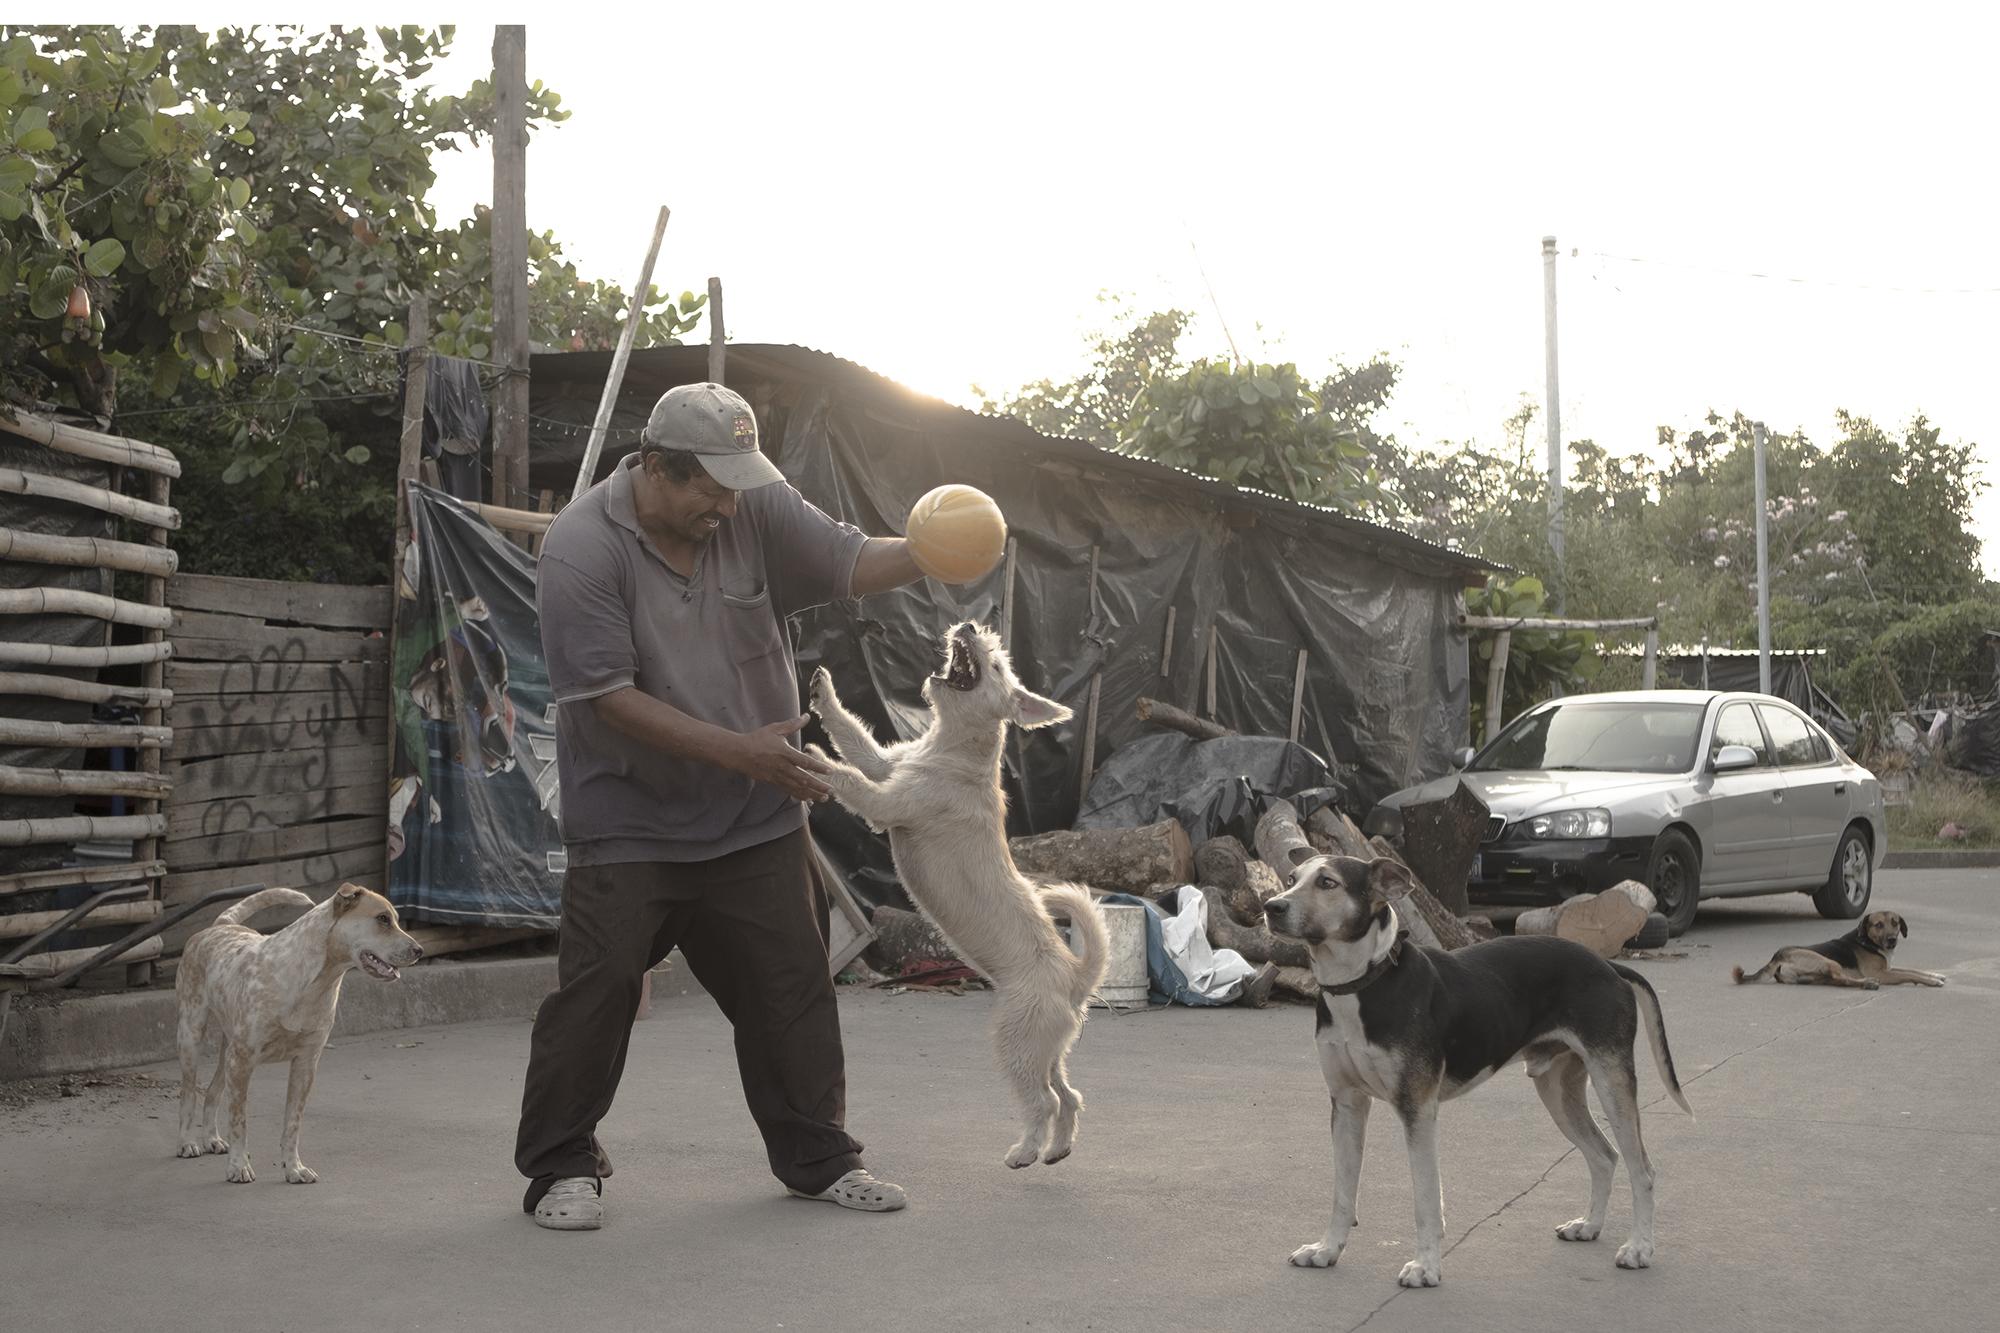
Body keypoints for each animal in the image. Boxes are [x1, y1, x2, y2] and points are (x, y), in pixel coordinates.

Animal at [175, 888, 422, 1176]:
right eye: (382, 918)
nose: (420, 950)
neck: (314, 982)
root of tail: (219, 926)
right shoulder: (242, 1061)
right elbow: (239, 1122)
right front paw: (239, 1167)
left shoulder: (305, 1063)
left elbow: (292, 1124)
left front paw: (294, 1169)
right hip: (192, 1036)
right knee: (188, 1094)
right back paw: (187, 1143)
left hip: (228, 1054)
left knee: (212, 1092)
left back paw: (212, 1139)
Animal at [804, 624, 1112, 1160]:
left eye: (998, 665)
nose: (969, 626)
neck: (948, 748)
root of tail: (1076, 977)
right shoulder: (887, 764)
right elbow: (855, 741)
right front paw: (824, 697)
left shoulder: (884, 802)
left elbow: (849, 777)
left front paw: (812, 759)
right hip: (1048, 1050)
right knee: (1070, 1095)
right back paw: (1056, 1149)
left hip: (1015, 1042)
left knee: (1046, 1101)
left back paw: (1025, 1152)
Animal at [1264, 856, 1688, 1280]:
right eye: (1291, 879)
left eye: (1328, 882)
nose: (1272, 907)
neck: (1365, 981)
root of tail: (1608, 964)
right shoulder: (1347, 1105)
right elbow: (1342, 1193)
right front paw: (1326, 1250)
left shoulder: (1417, 1109)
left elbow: (1425, 1197)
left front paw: (1425, 1266)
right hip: (1558, 1091)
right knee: (1604, 1156)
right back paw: (1588, 1226)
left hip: (1611, 1081)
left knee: (1642, 1170)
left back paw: (1639, 1248)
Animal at [1728, 912, 1944, 984]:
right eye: (1878, 925)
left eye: (1895, 923)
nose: (1892, 940)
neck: (1866, 941)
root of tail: (1777, 956)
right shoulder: (1882, 974)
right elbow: (1910, 974)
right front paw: (1932, 982)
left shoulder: (1888, 969)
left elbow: (1913, 970)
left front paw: (1935, 975)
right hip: (1829, 961)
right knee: (1842, 978)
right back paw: (1867, 983)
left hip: (1817, 975)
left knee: (1838, 981)